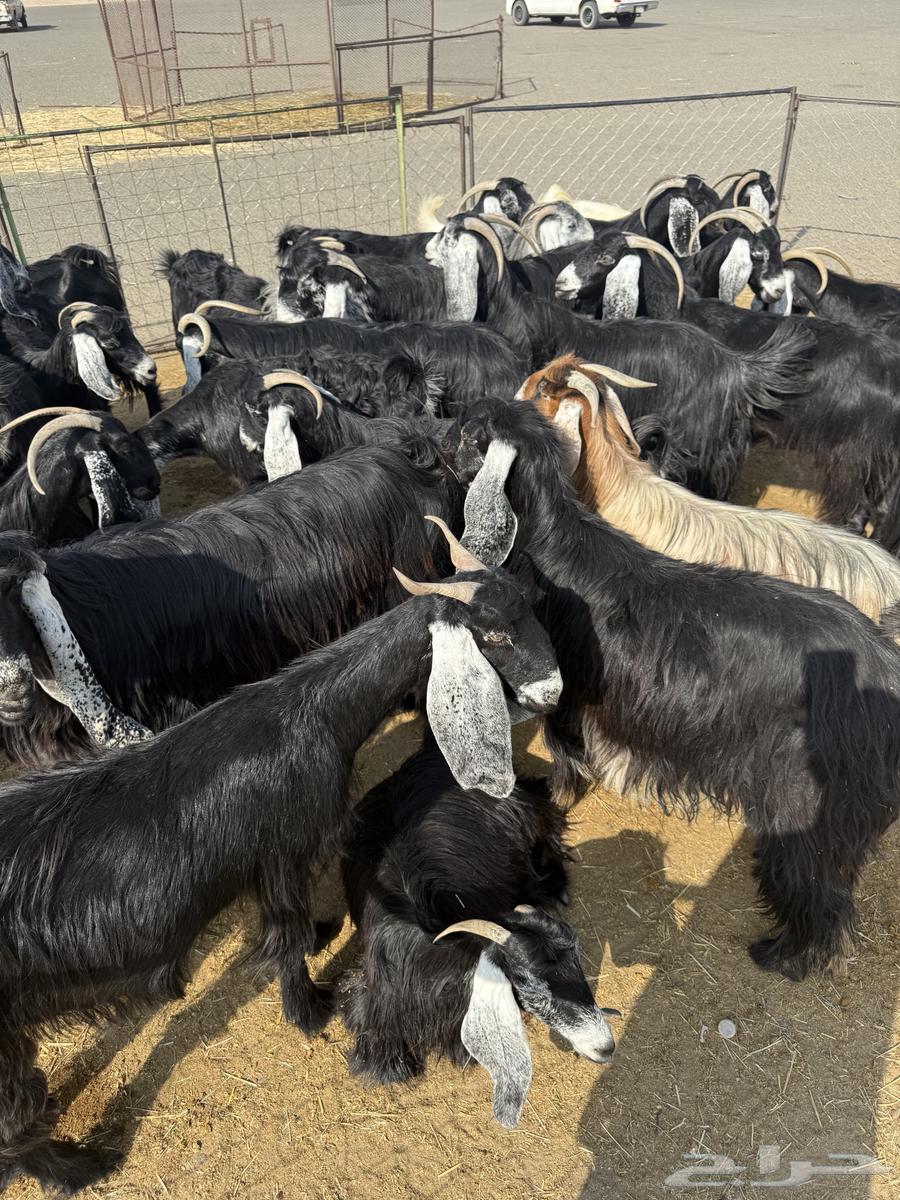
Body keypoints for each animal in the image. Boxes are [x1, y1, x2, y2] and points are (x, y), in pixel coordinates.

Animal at [0, 520, 561, 1192]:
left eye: (532, 608)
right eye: (495, 632)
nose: (553, 692)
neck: (312, 713)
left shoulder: (270, 858)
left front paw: (321, 940)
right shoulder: (285, 847)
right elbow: (286, 933)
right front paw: (311, 1008)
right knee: (14, 1120)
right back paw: (77, 1167)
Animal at [450, 396, 900, 982]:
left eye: (467, 435)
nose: (433, 444)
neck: (554, 547)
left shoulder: (564, 695)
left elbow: (565, 755)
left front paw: (557, 794)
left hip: (808, 809)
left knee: (822, 898)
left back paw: (784, 957)